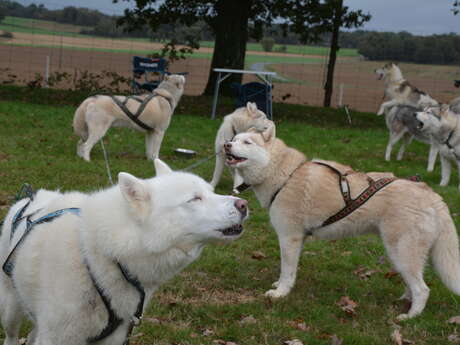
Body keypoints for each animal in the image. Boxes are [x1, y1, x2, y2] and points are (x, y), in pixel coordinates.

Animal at [0, 159, 248, 344]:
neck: (98, 258)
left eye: (212, 192)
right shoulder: (57, 336)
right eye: (195, 198)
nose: (244, 204)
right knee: (12, 337)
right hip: (11, 310)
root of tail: (28, 198)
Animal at [225, 124, 460, 320]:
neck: (286, 175)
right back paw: (404, 301)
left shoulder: (288, 238)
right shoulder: (298, 240)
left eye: (247, 142)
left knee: (423, 289)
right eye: (235, 139)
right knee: (413, 284)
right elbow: (291, 271)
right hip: (401, 255)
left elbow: (286, 271)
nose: (226, 145)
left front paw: (280, 293)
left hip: (401, 252)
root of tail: (433, 196)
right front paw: (283, 287)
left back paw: (410, 317)